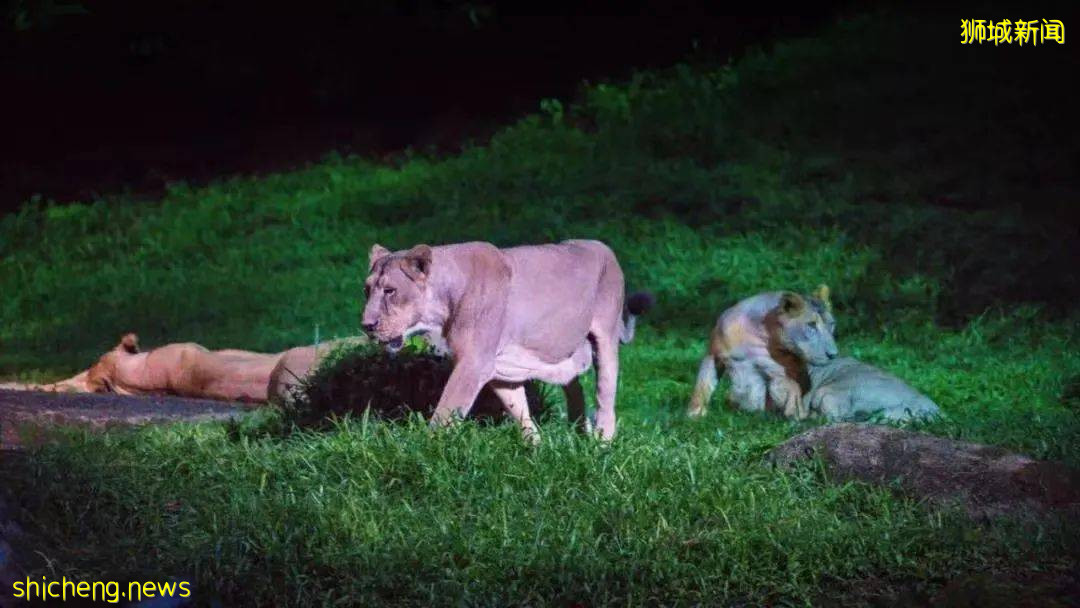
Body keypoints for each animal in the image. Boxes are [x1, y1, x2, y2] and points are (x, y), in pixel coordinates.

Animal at [362, 237, 652, 442]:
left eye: (390, 291)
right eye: (366, 290)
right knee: (574, 385)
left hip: (606, 338)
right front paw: (536, 447)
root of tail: (604, 247)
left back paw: (602, 442)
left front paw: (426, 450)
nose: (366, 326)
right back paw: (578, 432)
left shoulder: (473, 364)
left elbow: (446, 411)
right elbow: (519, 409)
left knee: (606, 393)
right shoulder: (499, 369)